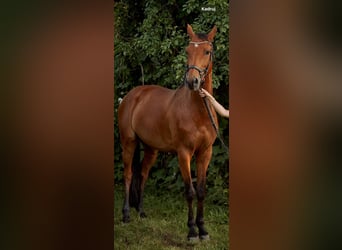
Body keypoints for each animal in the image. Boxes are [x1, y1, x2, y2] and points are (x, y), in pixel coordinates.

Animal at [119, 23, 218, 240]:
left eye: (207, 51)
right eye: (187, 51)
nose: (192, 82)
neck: (197, 112)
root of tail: (132, 95)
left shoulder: (205, 153)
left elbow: (201, 191)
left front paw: (203, 230)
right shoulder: (184, 154)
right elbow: (189, 191)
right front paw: (191, 231)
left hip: (151, 149)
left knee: (143, 175)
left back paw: (141, 212)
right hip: (128, 143)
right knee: (128, 175)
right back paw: (126, 214)